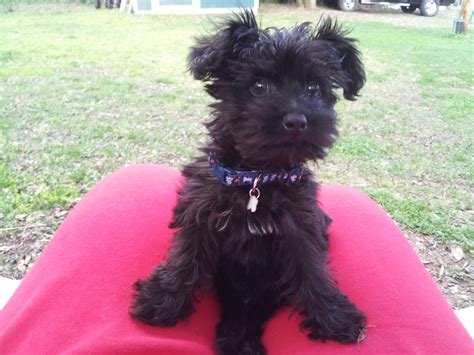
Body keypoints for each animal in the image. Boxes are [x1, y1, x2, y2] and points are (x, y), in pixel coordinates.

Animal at [131, 10, 368, 355]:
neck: (257, 178)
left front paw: (334, 315)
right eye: (258, 86)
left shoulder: (301, 226)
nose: (297, 120)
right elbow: (185, 257)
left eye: (314, 88)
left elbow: (313, 268)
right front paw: (161, 299)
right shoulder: (200, 213)